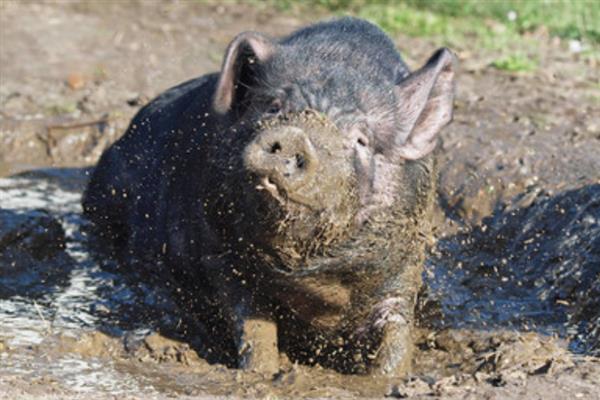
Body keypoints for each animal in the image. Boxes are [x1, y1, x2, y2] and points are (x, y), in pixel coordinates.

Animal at [83, 17, 454, 376]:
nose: (293, 136)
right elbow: (254, 332)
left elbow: (397, 335)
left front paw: (389, 379)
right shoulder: (227, 264)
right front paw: (260, 375)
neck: (314, 284)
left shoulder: (402, 270)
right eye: (274, 108)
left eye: (363, 140)